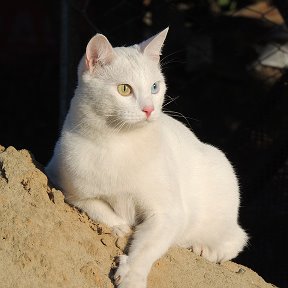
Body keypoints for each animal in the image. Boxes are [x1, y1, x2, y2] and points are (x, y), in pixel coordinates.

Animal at [45, 28, 248, 288]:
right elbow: (93, 205)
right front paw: (120, 226)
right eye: (124, 89)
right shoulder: (62, 180)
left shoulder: (168, 213)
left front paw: (132, 275)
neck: (117, 143)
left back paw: (205, 248)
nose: (150, 109)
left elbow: (147, 247)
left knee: (236, 237)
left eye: (154, 87)